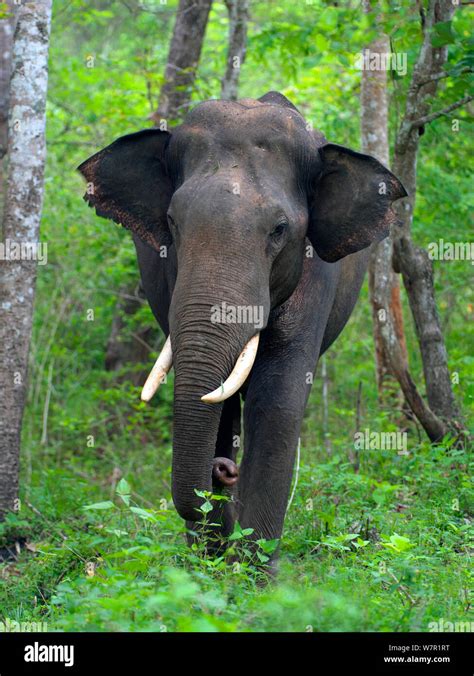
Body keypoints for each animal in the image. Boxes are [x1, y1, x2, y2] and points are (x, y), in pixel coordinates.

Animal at [78, 90, 408, 564]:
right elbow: (215, 405)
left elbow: (278, 399)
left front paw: (252, 571)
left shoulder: (315, 276)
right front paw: (210, 564)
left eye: (280, 229)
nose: (222, 472)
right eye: (172, 222)